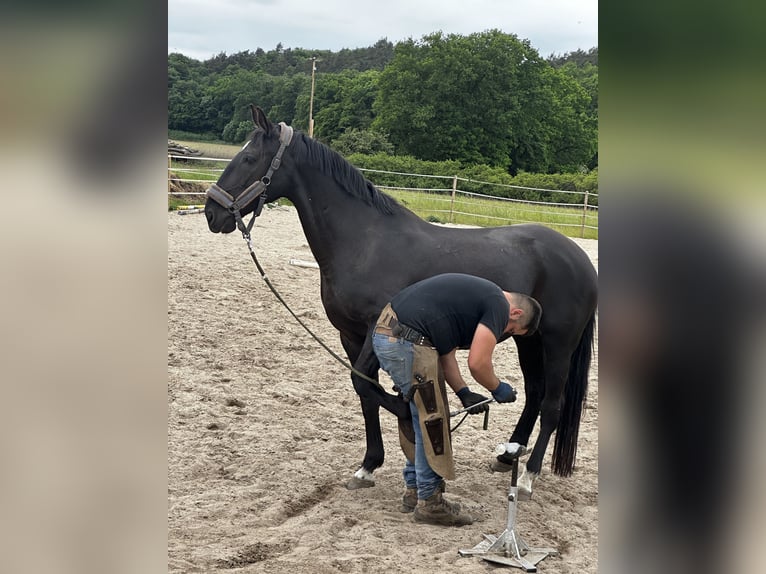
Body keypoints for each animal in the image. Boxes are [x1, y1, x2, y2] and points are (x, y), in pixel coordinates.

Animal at [204, 105, 597, 497]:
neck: (366, 242)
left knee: (552, 404)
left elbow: (368, 385)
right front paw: (368, 465)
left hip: (558, 343)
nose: (212, 212)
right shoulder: (350, 335)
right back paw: (507, 455)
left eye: (249, 158)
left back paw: (529, 475)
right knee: (533, 394)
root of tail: (581, 260)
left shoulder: (376, 329)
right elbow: (364, 390)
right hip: (527, 339)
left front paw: (409, 421)